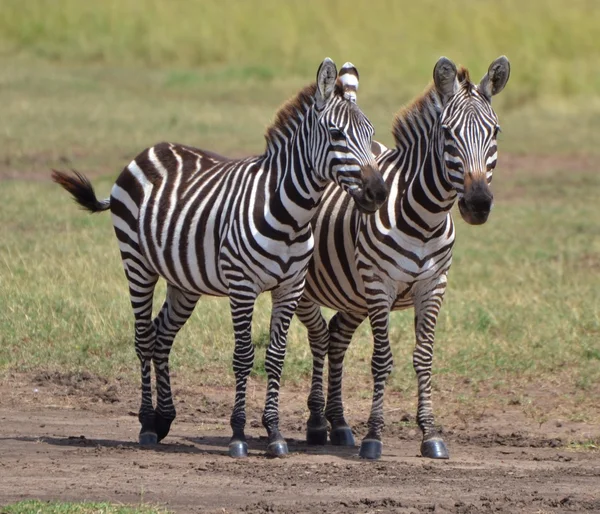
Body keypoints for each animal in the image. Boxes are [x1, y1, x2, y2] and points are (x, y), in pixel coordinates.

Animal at [52, 58, 390, 458]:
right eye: (337, 134)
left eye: (370, 134)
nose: (378, 192)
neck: (290, 213)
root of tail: (149, 150)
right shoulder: (242, 287)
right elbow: (244, 357)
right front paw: (239, 435)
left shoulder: (289, 288)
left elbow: (275, 357)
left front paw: (274, 433)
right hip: (137, 264)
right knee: (144, 337)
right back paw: (147, 424)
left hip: (183, 281)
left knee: (162, 335)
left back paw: (164, 419)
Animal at [296, 57, 510, 460]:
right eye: (448, 135)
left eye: (495, 132)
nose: (477, 204)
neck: (424, 219)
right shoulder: (380, 285)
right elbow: (382, 361)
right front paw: (373, 436)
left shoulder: (433, 286)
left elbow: (423, 358)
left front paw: (430, 434)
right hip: (308, 286)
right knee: (317, 335)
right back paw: (317, 423)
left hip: (354, 295)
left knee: (336, 337)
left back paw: (339, 424)